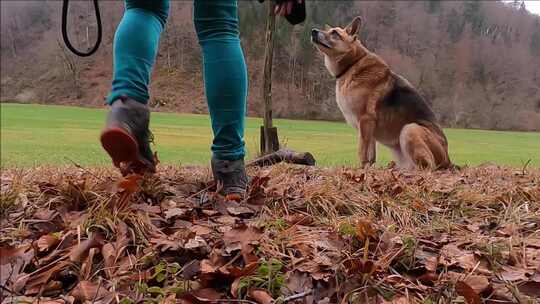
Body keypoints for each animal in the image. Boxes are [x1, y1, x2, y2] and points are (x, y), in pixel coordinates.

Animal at [312, 16, 452, 170]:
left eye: (335, 33)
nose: (313, 31)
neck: (353, 64)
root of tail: (448, 159)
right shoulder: (370, 129)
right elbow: (371, 156)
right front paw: (368, 169)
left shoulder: (365, 121)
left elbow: (362, 151)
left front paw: (361, 169)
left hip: (409, 129)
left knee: (428, 166)